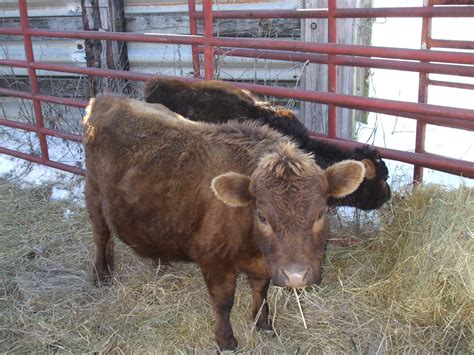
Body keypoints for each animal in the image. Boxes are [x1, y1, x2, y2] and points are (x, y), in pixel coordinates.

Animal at [83, 96, 364, 352]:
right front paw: (226, 340)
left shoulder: (262, 264)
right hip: (94, 195)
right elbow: (224, 302)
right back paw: (101, 275)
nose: (295, 276)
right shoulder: (214, 261)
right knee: (100, 235)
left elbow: (261, 291)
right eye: (262, 216)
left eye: (320, 213)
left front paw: (263, 324)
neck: (252, 244)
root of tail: (106, 99)